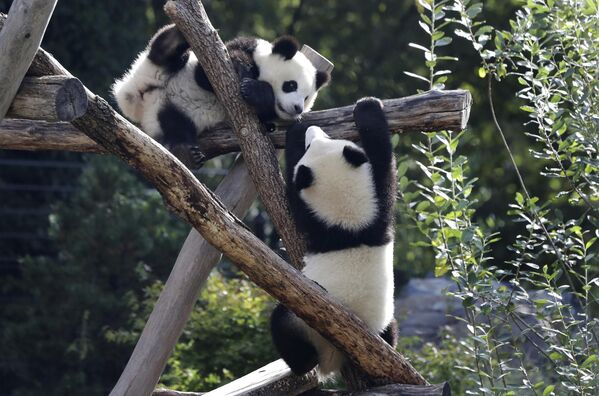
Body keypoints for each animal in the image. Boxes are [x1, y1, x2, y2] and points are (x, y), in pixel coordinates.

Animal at [112, 24, 332, 167]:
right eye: (291, 85)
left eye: (306, 97)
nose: (297, 108)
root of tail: (139, 97)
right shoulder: (235, 50)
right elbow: (205, 76)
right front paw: (243, 69)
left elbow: (264, 114)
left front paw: (257, 93)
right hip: (157, 69)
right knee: (163, 53)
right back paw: (175, 37)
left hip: (166, 113)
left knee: (176, 127)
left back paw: (186, 153)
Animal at [272, 97, 398, 378]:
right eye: (324, 138)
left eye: (312, 145)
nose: (312, 130)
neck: (348, 220)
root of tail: (334, 356)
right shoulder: (378, 207)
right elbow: (383, 160)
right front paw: (369, 110)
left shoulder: (313, 220)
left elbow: (293, 201)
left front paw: (295, 132)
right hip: (383, 320)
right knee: (391, 329)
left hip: (304, 322)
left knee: (282, 323)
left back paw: (303, 363)